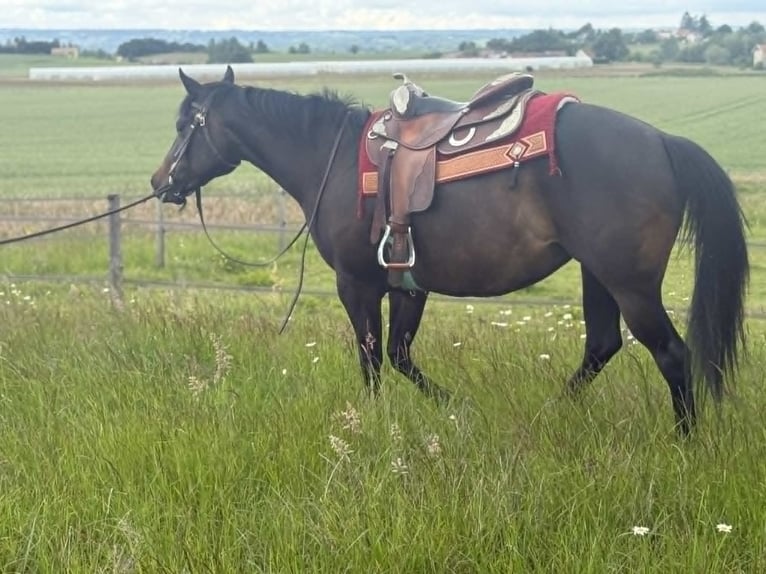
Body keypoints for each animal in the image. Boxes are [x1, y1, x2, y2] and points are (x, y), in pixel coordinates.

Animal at [150, 66, 748, 434]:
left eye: (182, 125)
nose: (161, 182)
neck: (332, 158)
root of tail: (663, 142)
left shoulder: (356, 284)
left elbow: (372, 360)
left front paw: (372, 423)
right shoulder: (407, 283)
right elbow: (400, 354)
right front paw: (457, 410)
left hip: (630, 283)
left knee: (671, 355)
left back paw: (685, 442)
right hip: (597, 274)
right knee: (601, 346)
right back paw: (548, 414)